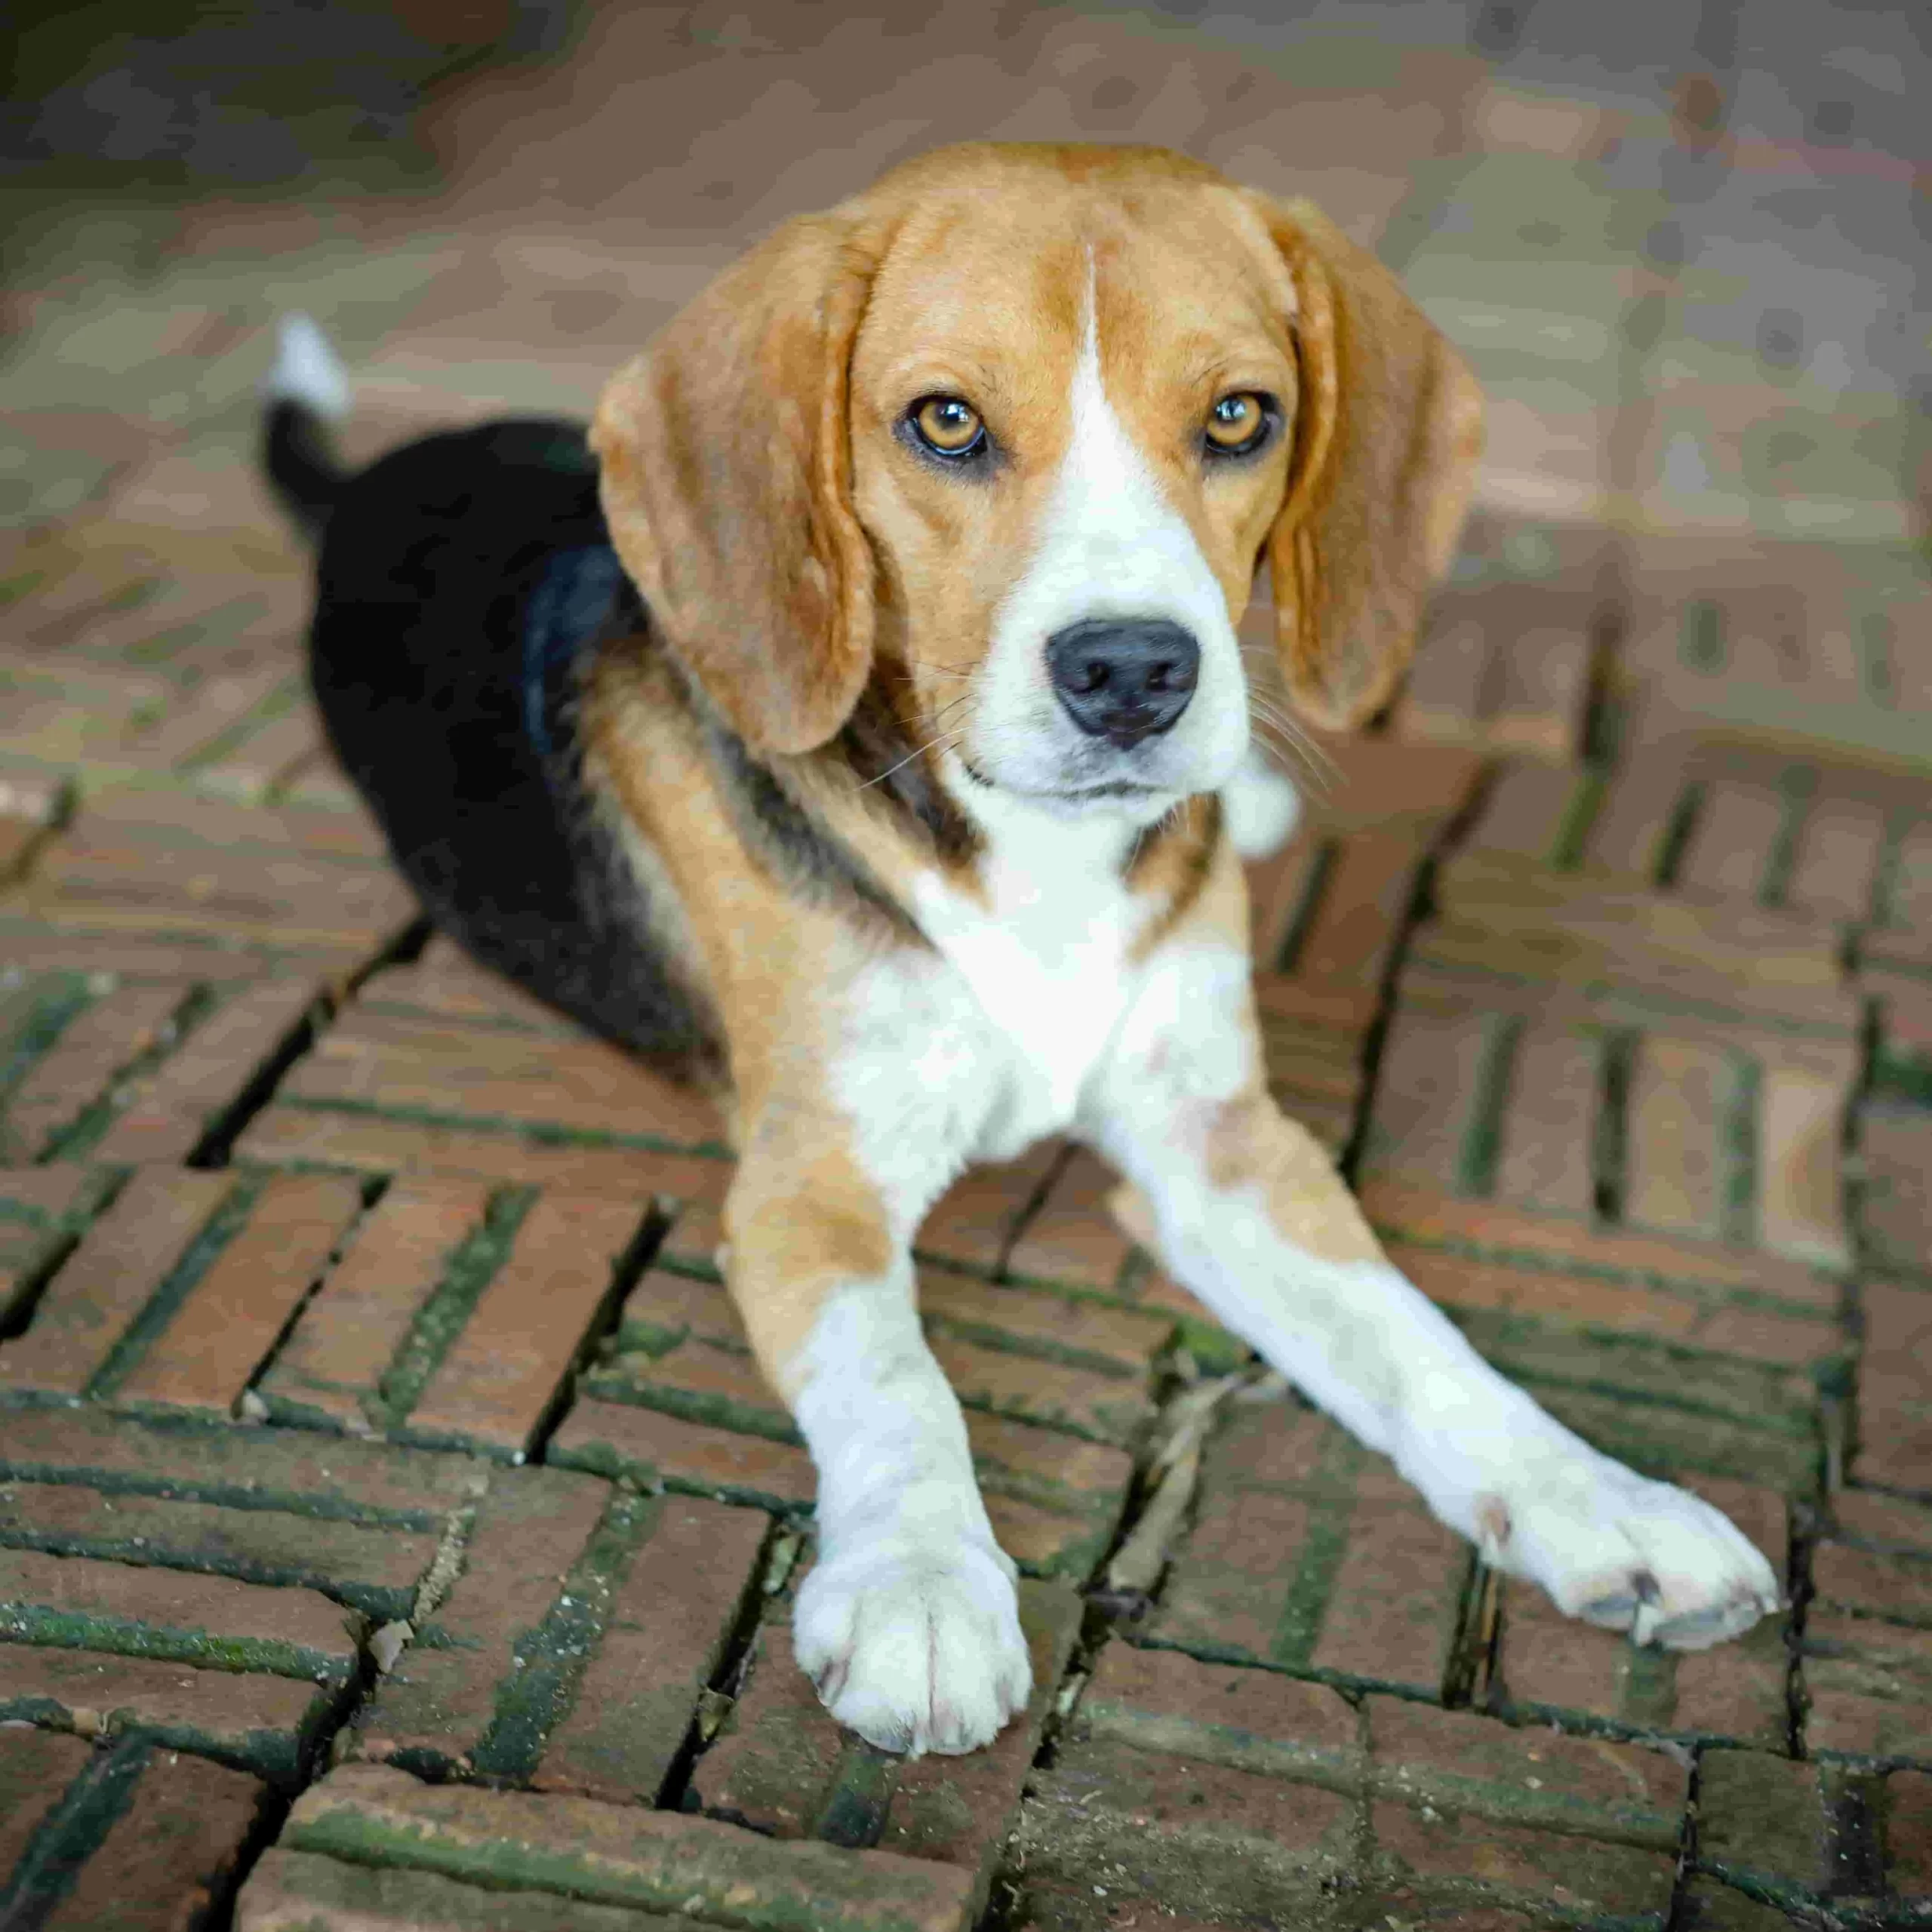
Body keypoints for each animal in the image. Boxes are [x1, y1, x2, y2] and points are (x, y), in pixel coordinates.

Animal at [268, 143, 1777, 1761]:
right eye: (946, 421)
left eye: (1240, 416)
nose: (1133, 673)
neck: (1030, 861)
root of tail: (372, 479)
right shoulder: (809, 1192)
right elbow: (899, 1383)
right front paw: (922, 1586)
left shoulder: (1225, 1146)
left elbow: (1416, 1334)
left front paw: (1599, 1498)